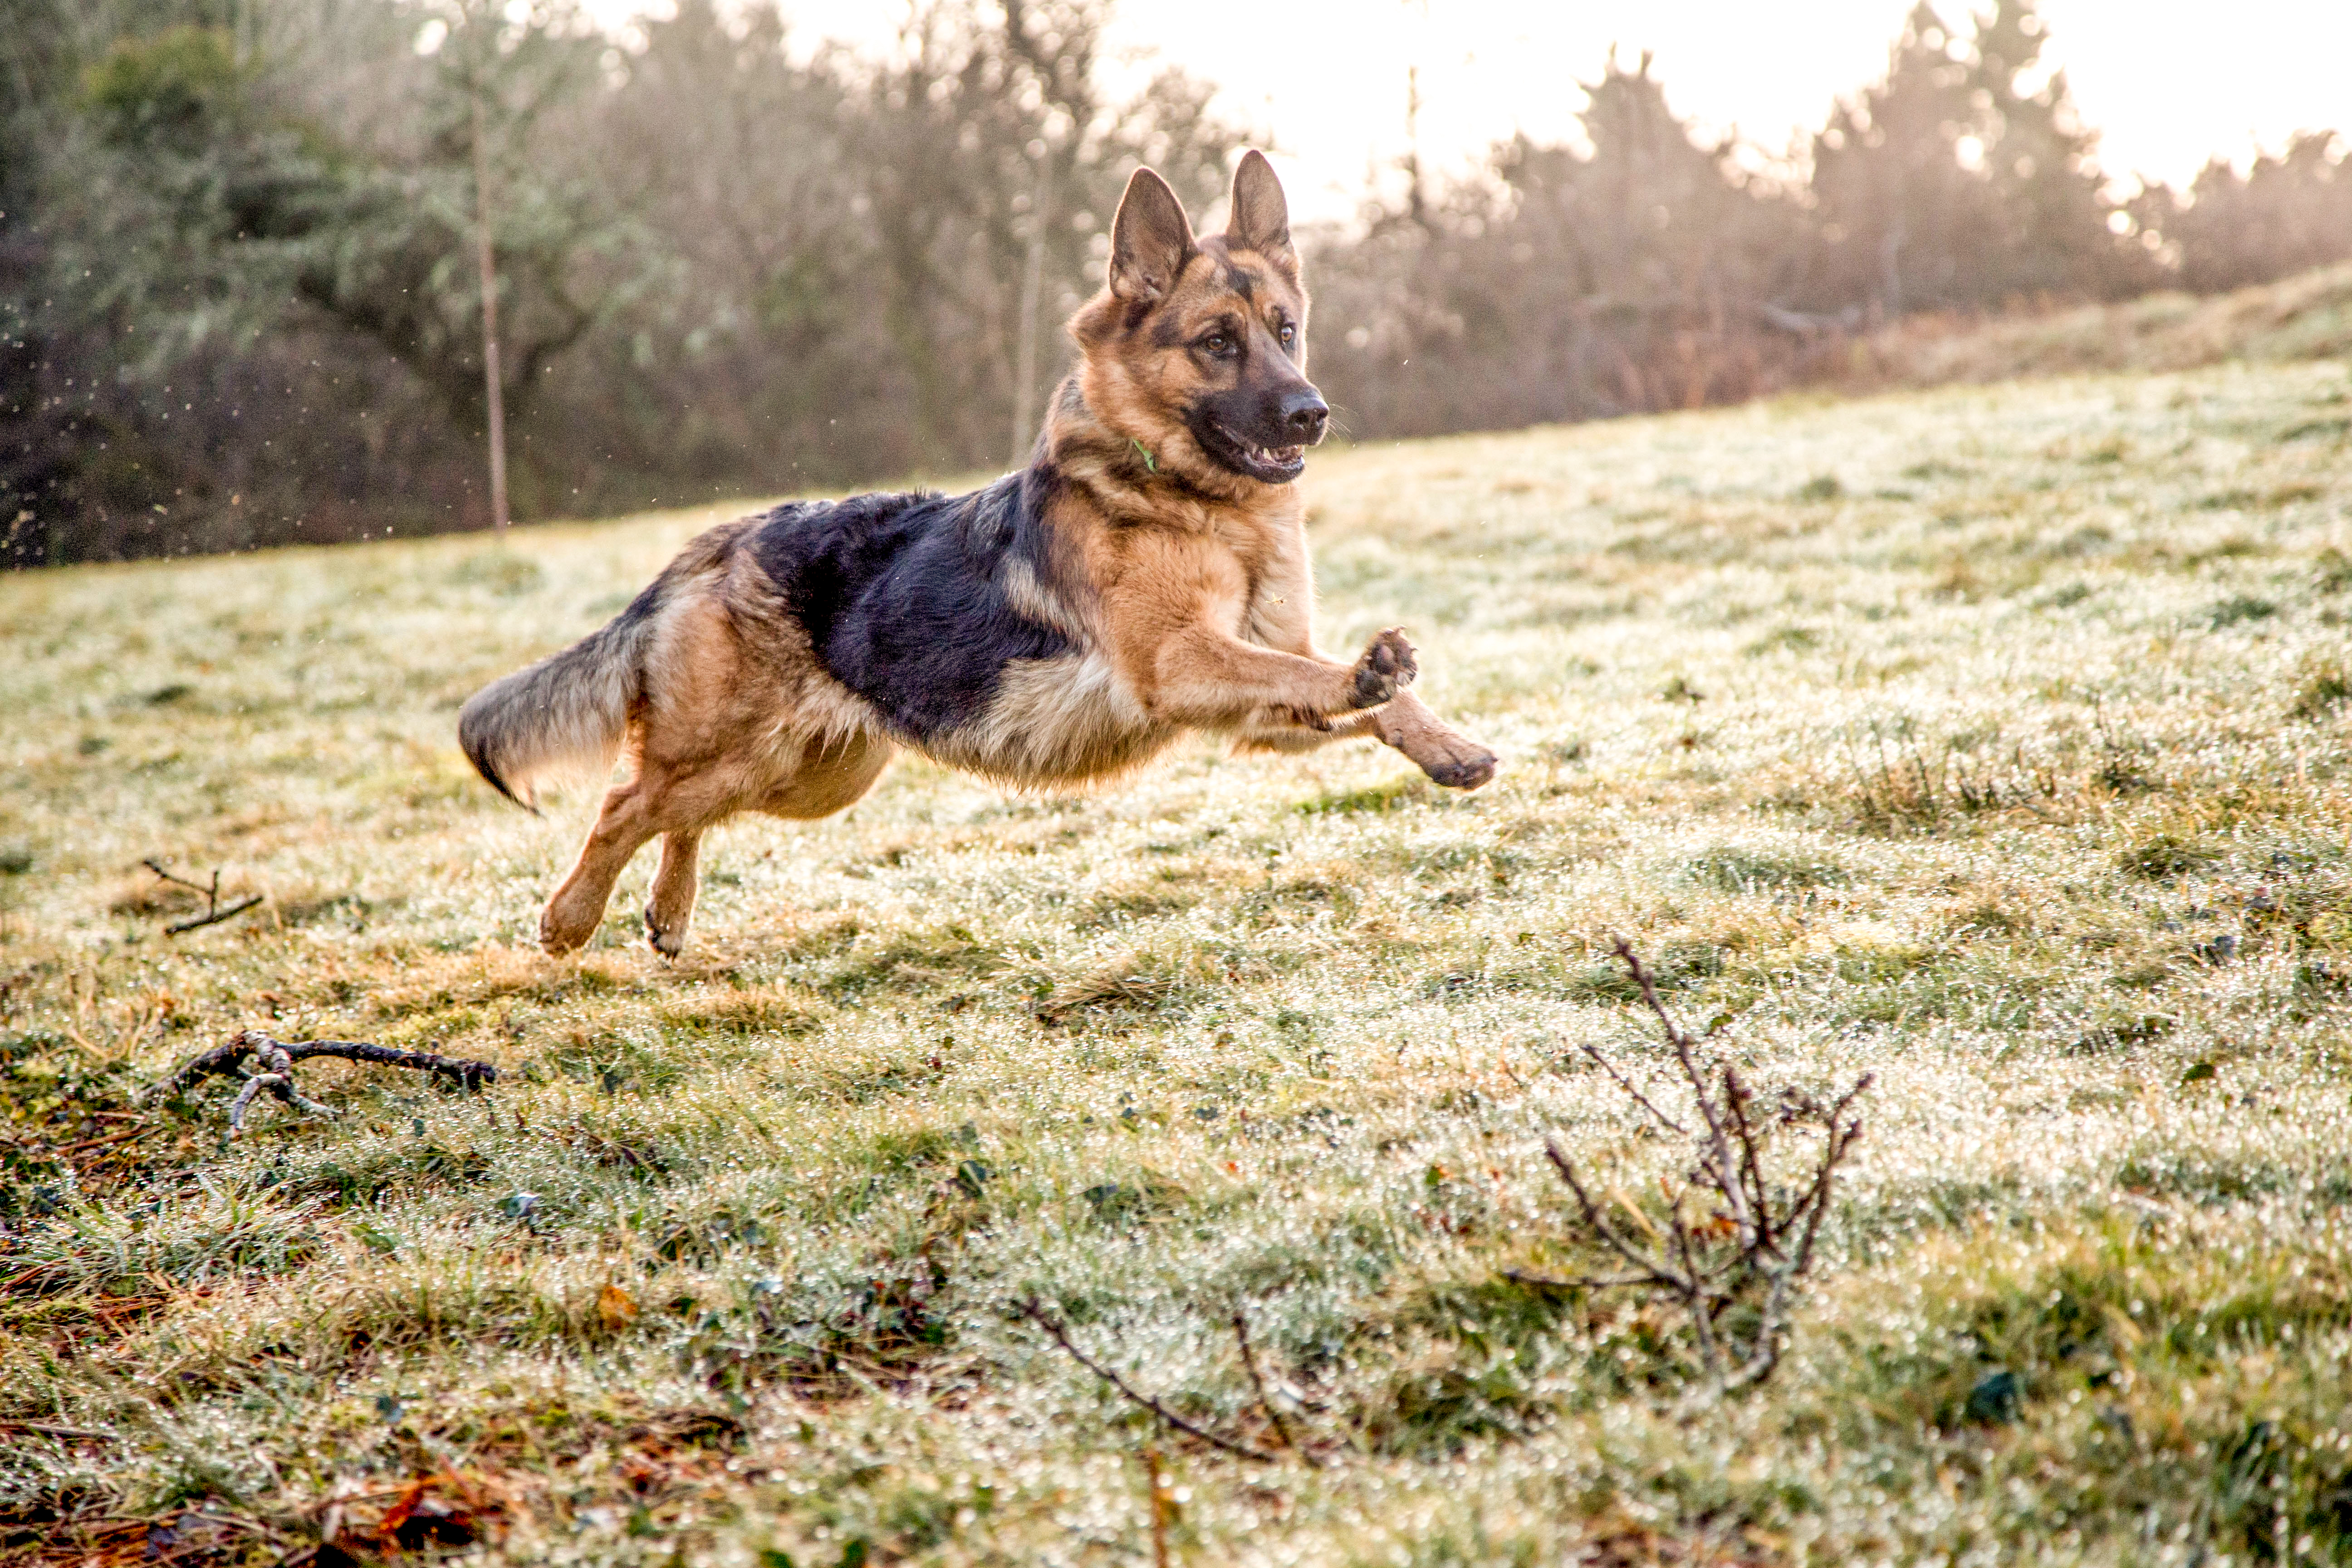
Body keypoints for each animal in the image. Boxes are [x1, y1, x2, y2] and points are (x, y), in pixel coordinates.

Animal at [449, 152, 1496, 959]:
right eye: (1215, 343)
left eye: (1285, 332)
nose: (1311, 415)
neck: (1185, 498)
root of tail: (723, 540)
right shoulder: (1184, 664)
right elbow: (1323, 674)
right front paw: (1372, 676)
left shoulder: (1248, 703)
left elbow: (1359, 694)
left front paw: (1441, 743)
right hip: (737, 753)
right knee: (627, 801)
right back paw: (569, 920)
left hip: (807, 777)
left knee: (679, 814)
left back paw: (666, 913)